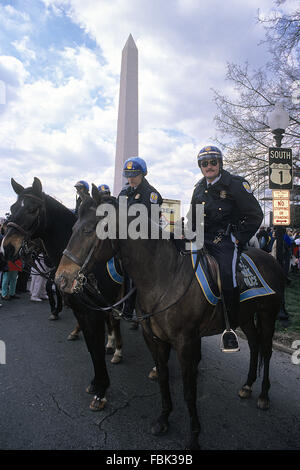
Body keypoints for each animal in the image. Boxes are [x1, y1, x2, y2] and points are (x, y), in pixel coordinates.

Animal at [55, 185, 284, 450]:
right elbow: (163, 378)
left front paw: (193, 435)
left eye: (88, 230)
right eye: (72, 228)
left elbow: (188, 389)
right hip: (245, 317)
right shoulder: (155, 339)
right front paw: (163, 419)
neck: (164, 275)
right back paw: (247, 385)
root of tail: (271, 259)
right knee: (255, 345)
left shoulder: (186, 343)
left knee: (266, 350)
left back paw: (264, 395)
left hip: (268, 314)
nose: (61, 279)